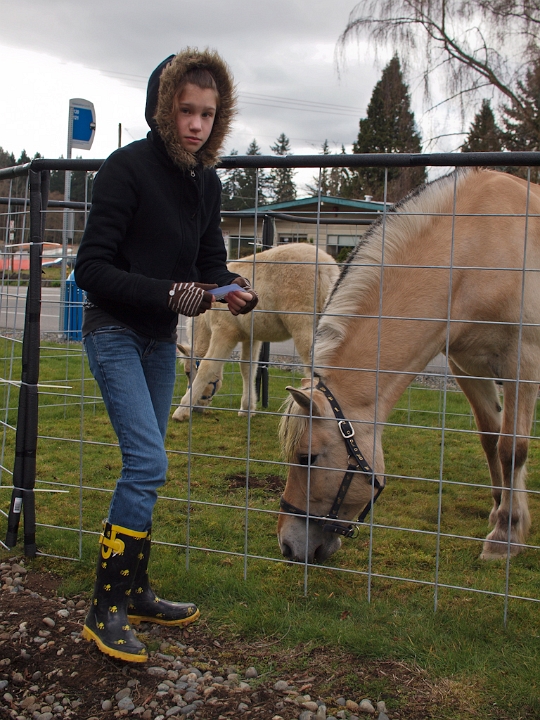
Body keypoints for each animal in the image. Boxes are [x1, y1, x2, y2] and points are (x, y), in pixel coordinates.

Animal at [173, 243, 338, 422]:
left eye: (188, 372)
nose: (197, 408)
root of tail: (325, 267)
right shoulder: (251, 337)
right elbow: (247, 368)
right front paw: (247, 408)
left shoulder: (224, 333)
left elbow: (207, 366)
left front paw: (181, 410)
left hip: (303, 326)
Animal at [278, 169, 540, 564]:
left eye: (307, 458)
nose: (288, 546)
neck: (477, 249)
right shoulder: (467, 366)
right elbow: (491, 439)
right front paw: (501, 511)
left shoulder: (522, 361)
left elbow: (513, 449)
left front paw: (505, 534)